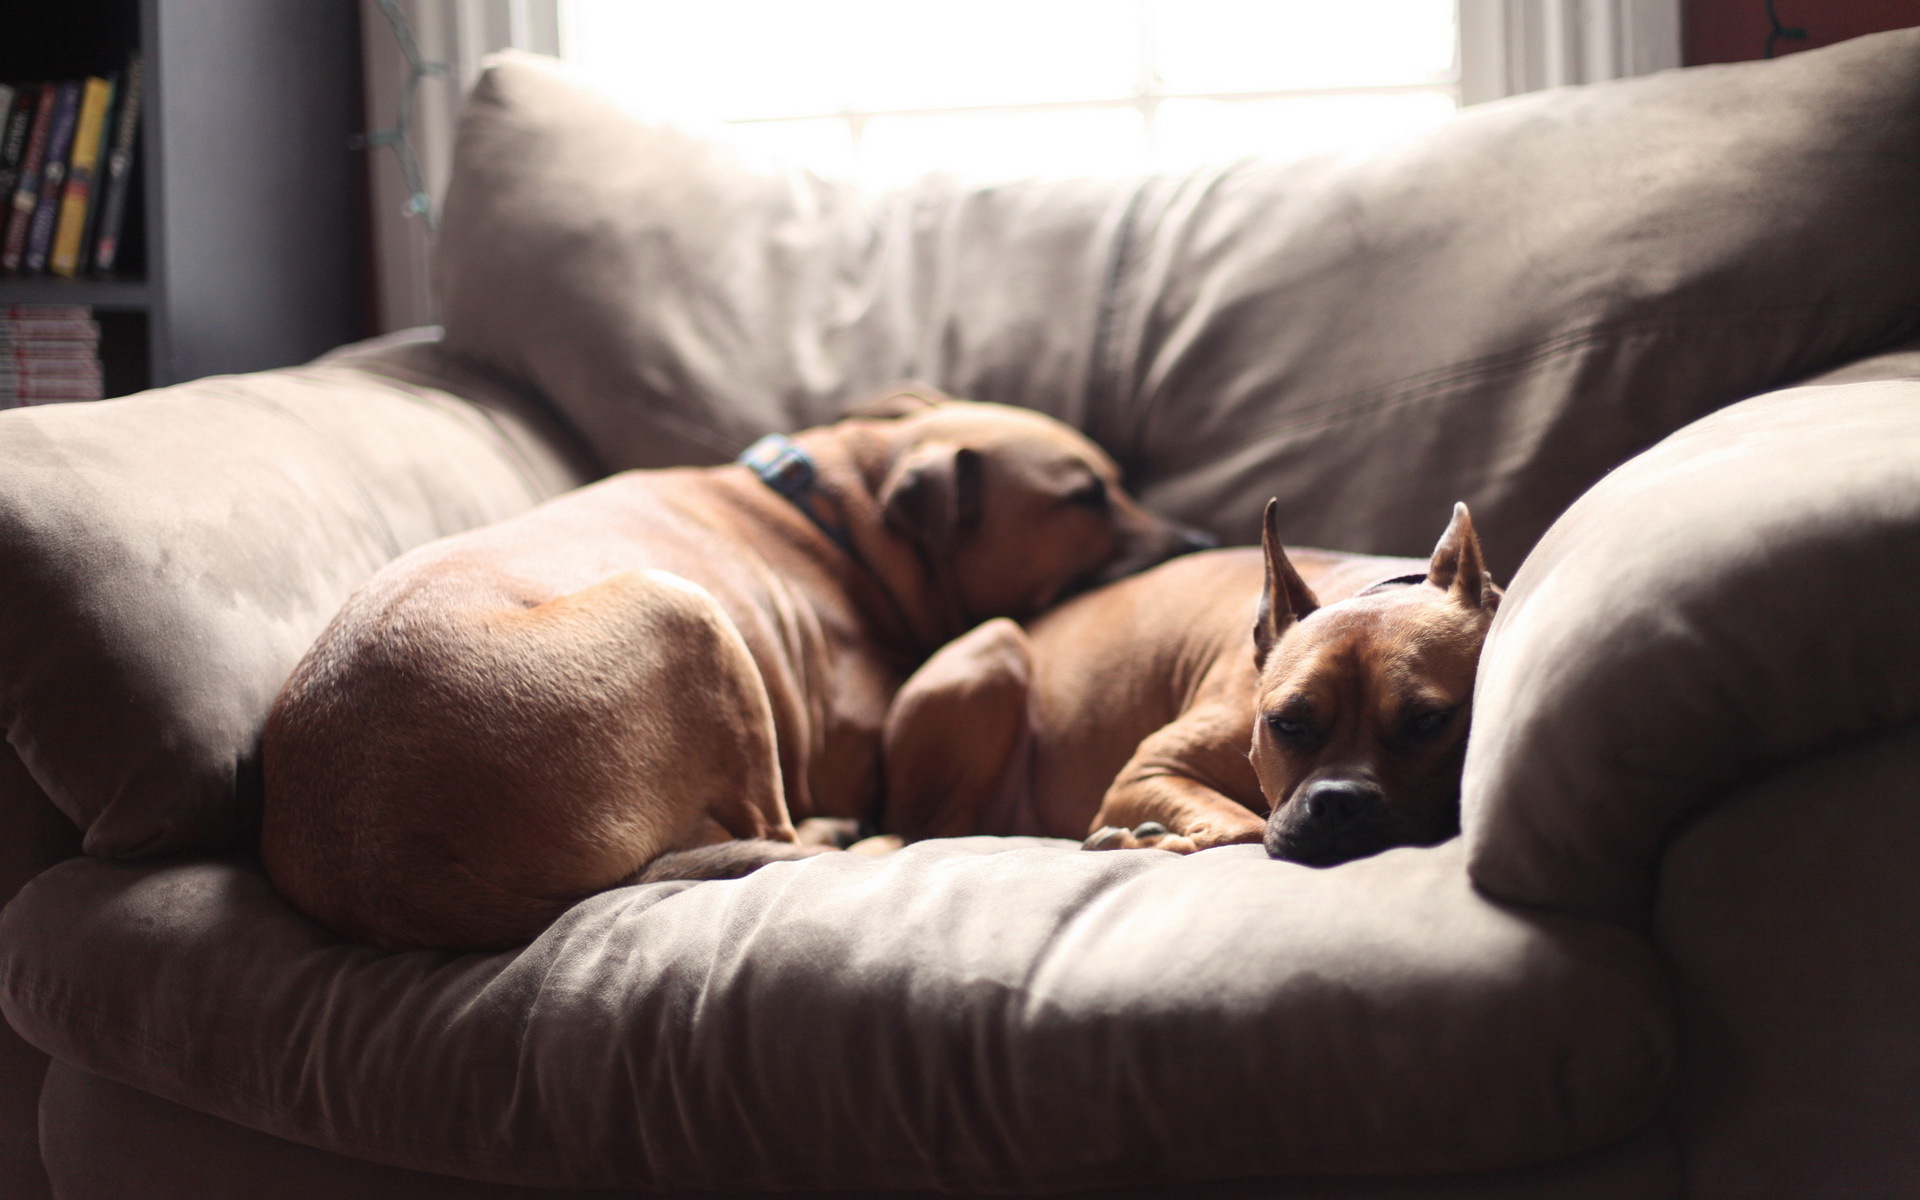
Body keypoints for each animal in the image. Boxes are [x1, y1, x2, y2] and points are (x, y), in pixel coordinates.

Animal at [259, 387, 1198, 948]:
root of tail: (406, 882)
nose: (1198, 539)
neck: (837, 512)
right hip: (687, 614)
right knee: (788, 836)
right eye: (1086, 496)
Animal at [879, 499, 1497, 856]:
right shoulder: (1147, 772)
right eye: (1286, 725)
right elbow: (1244, 827)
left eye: (1429, 722)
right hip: (995, 649)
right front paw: (1144, 841)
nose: (1338, 803)